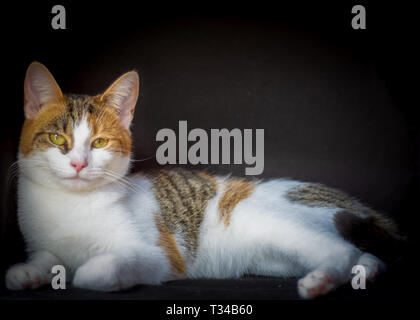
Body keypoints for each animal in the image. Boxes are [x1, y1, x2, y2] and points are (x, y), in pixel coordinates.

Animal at [4, 62, 402, 298]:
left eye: (99, 142)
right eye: (57, 138)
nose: (78, 164)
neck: (72, 205)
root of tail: (351, 203)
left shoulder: (160, 255)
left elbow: (94, 271)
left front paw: (83, 273)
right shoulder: (44, 244)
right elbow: (46, 259)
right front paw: (26, 274)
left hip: (264, 217)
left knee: (342, 250)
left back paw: (323, 281)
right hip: (273, 259)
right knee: (363, 254)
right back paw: (366, 270)